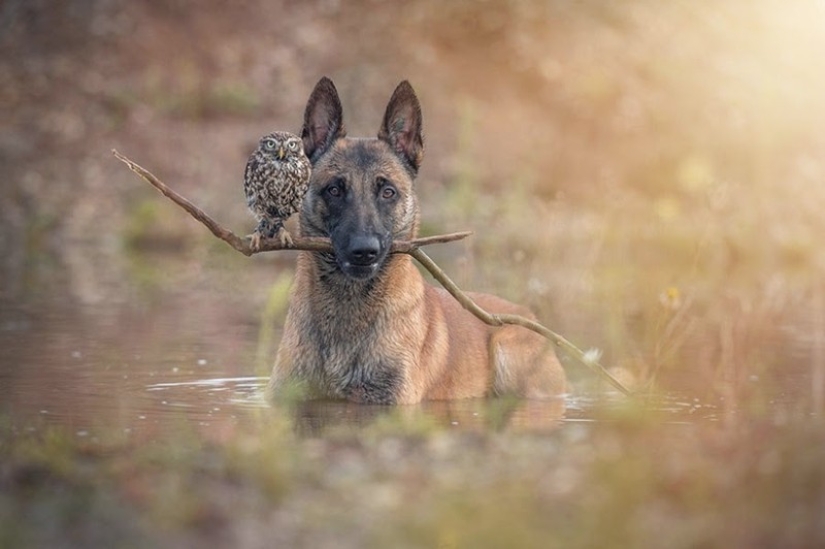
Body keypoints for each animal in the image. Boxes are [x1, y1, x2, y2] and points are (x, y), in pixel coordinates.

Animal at [266, 76, 568, 402]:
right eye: (334, 190)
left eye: (388, 192)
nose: (364, 251)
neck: (348, 308)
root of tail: (527, 314)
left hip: (508, 350)